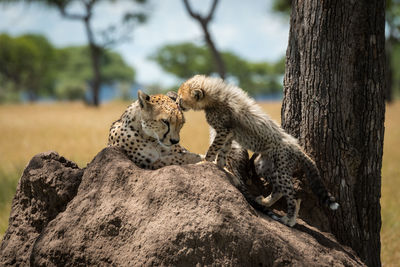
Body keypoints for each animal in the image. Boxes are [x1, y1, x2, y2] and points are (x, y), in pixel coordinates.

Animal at [177, 75, 338, 228]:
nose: (177, 103)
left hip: (281, 169)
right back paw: (265, 202)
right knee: (279, 189)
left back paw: (289, 219)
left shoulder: (224, 130)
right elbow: (223, 151)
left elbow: (214, 148)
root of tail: (297, 146)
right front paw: (220, 166)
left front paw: (204, 161)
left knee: (294, 196)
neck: (214, 96)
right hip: (263, 165)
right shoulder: (229, 133)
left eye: (180, 98)